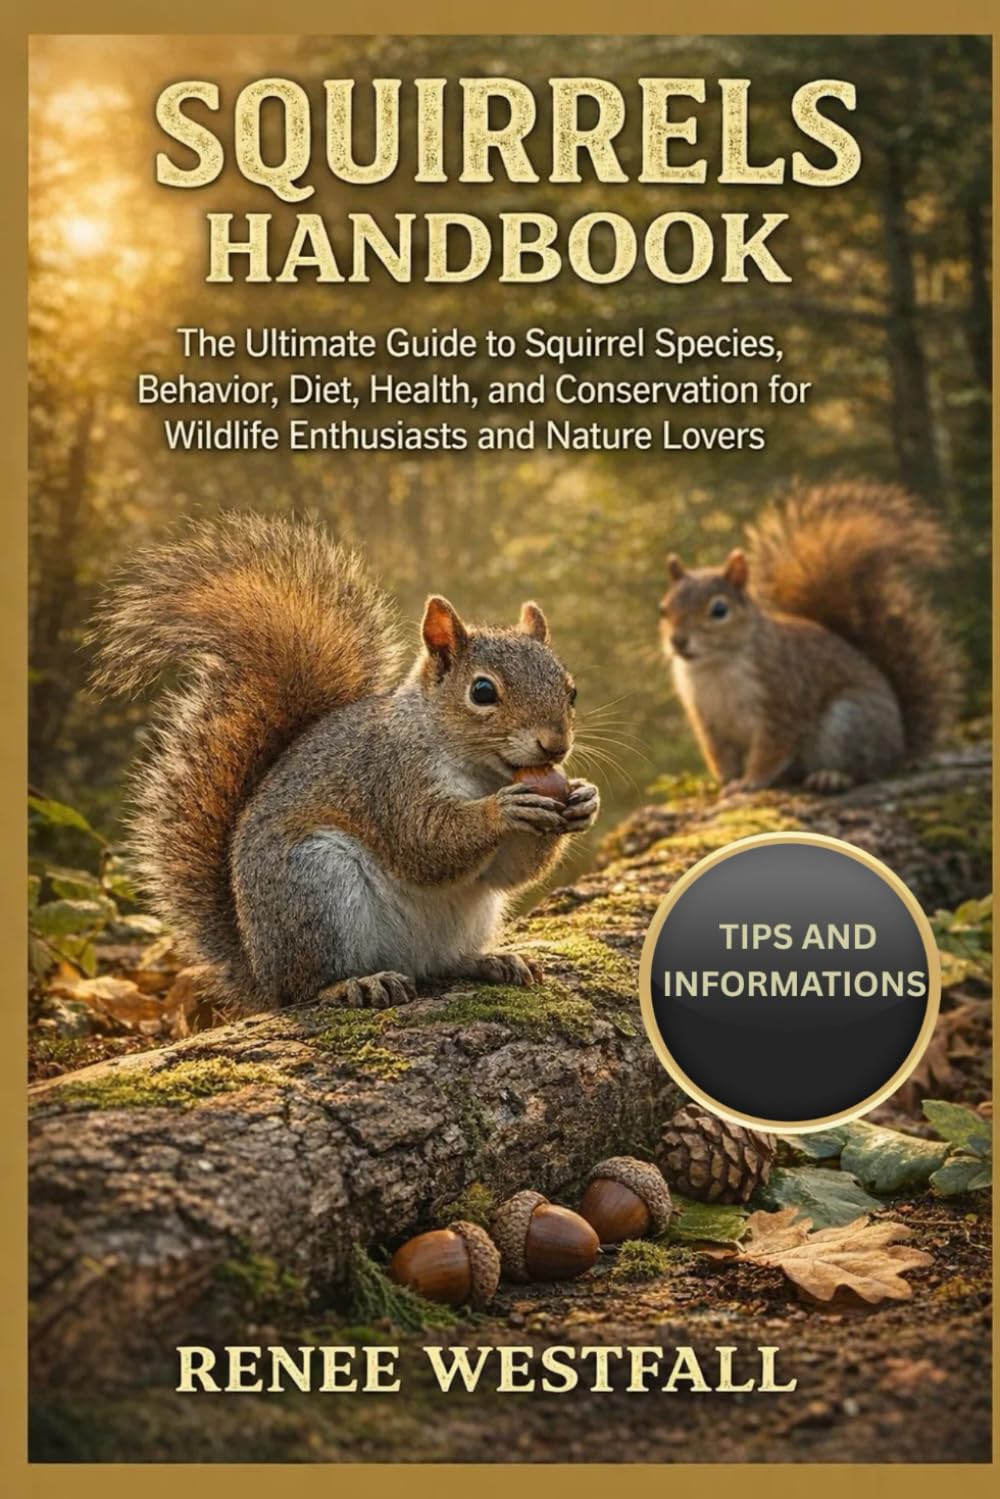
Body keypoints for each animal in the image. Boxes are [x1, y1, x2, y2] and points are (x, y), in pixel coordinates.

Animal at [90, 513, 600, 1013]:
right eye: (482, 691)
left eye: (571, 690)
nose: (555, 745)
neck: (482, 772)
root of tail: (262, 972)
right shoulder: (387, 779)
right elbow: (425, 840)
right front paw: (504, 810)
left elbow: (505, 872)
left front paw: (584, 800)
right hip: (316, 889)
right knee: (311, 984)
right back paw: (354, 984)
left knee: (443, 963)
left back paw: (489, 961)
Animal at [659, 483, 961, 794]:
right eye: (664, 610)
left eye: (719, 610)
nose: (678, 641)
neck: (716, 666)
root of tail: (901, 748)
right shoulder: (708, 722)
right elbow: (721, 759)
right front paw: (723, 784)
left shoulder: (783, 703)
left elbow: (769, 752)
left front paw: (750, 782)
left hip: (849, 722)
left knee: (867, 770)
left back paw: (832, 776)